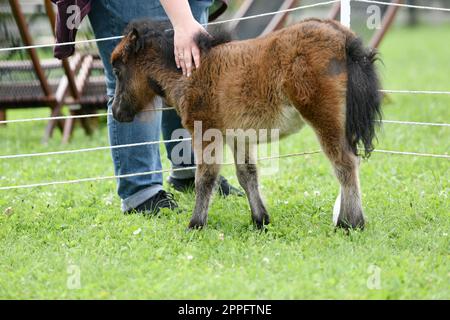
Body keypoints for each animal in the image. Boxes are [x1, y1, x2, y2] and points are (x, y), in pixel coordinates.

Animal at [110, 18, 382, 230]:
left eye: (117, 70)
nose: (116, 112)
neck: (191, 72)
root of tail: (342, 36)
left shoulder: (205, 132)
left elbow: (204, 178)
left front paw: (195, 224)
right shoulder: (238, 136)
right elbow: (247, 174)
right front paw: (260, 220)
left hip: (324, 116)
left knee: (345, 165)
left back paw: (350, 223)